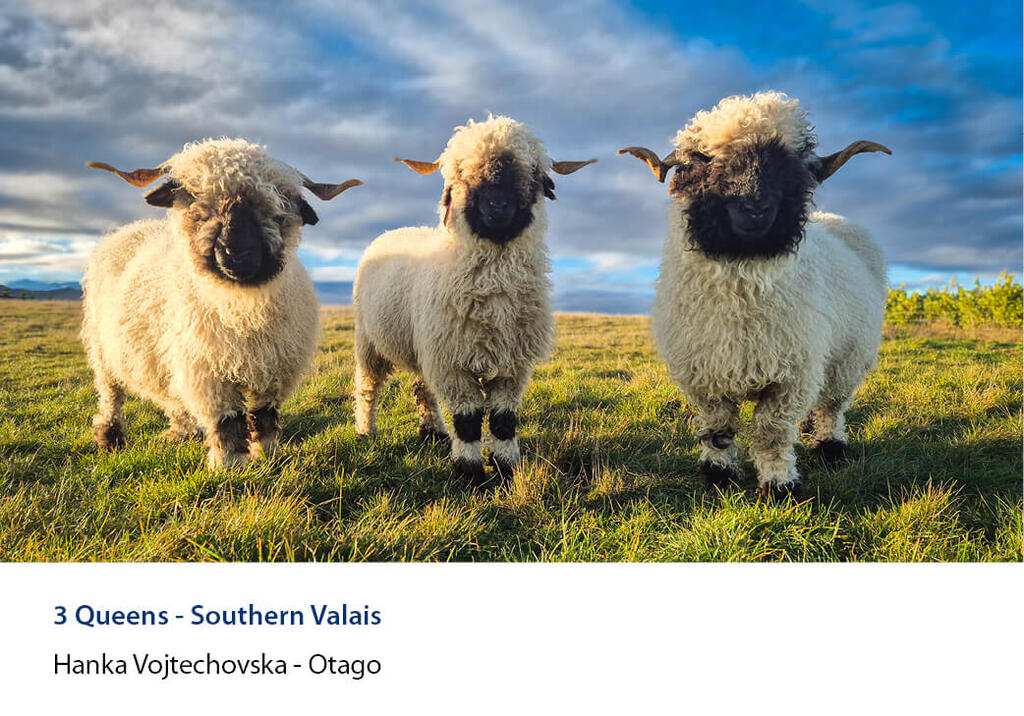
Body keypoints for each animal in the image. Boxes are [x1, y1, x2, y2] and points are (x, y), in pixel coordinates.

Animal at [83, 138, 361, 469]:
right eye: (196, 201)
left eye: (277, 207)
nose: (236, 252)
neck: (242, 309)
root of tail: (131, 228)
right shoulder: (207, 373)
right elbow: (228, 420)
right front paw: (230, 464)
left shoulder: (274, 369)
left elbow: (264, 417)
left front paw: (267, 456)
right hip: (102, 351)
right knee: (111, 395)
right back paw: (109, 437)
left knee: (170, 394)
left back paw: (180, 432)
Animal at [352, 115, 594, 485]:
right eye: (461, 171)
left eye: (532, 170)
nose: (497, 205)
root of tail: (397, 230)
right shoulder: (453, 364)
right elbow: (467, 421)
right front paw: (469, 474)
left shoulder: (511, 365)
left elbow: (503, 420)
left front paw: (506, 468)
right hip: (370, 341)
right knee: (368, 387)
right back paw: (366, 430)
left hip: (425, 345)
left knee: (422, 388)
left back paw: (433, 431)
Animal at [619, 91, 891, 499]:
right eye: (704, 159)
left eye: (790, 163)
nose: (753, 208)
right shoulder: (703, 375)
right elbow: (717, 428)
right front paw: (718, 477)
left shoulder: (790, 376)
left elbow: (771, 433)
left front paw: (778, 487)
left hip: (847, 359)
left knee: (832, 407)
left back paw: (831, 448)